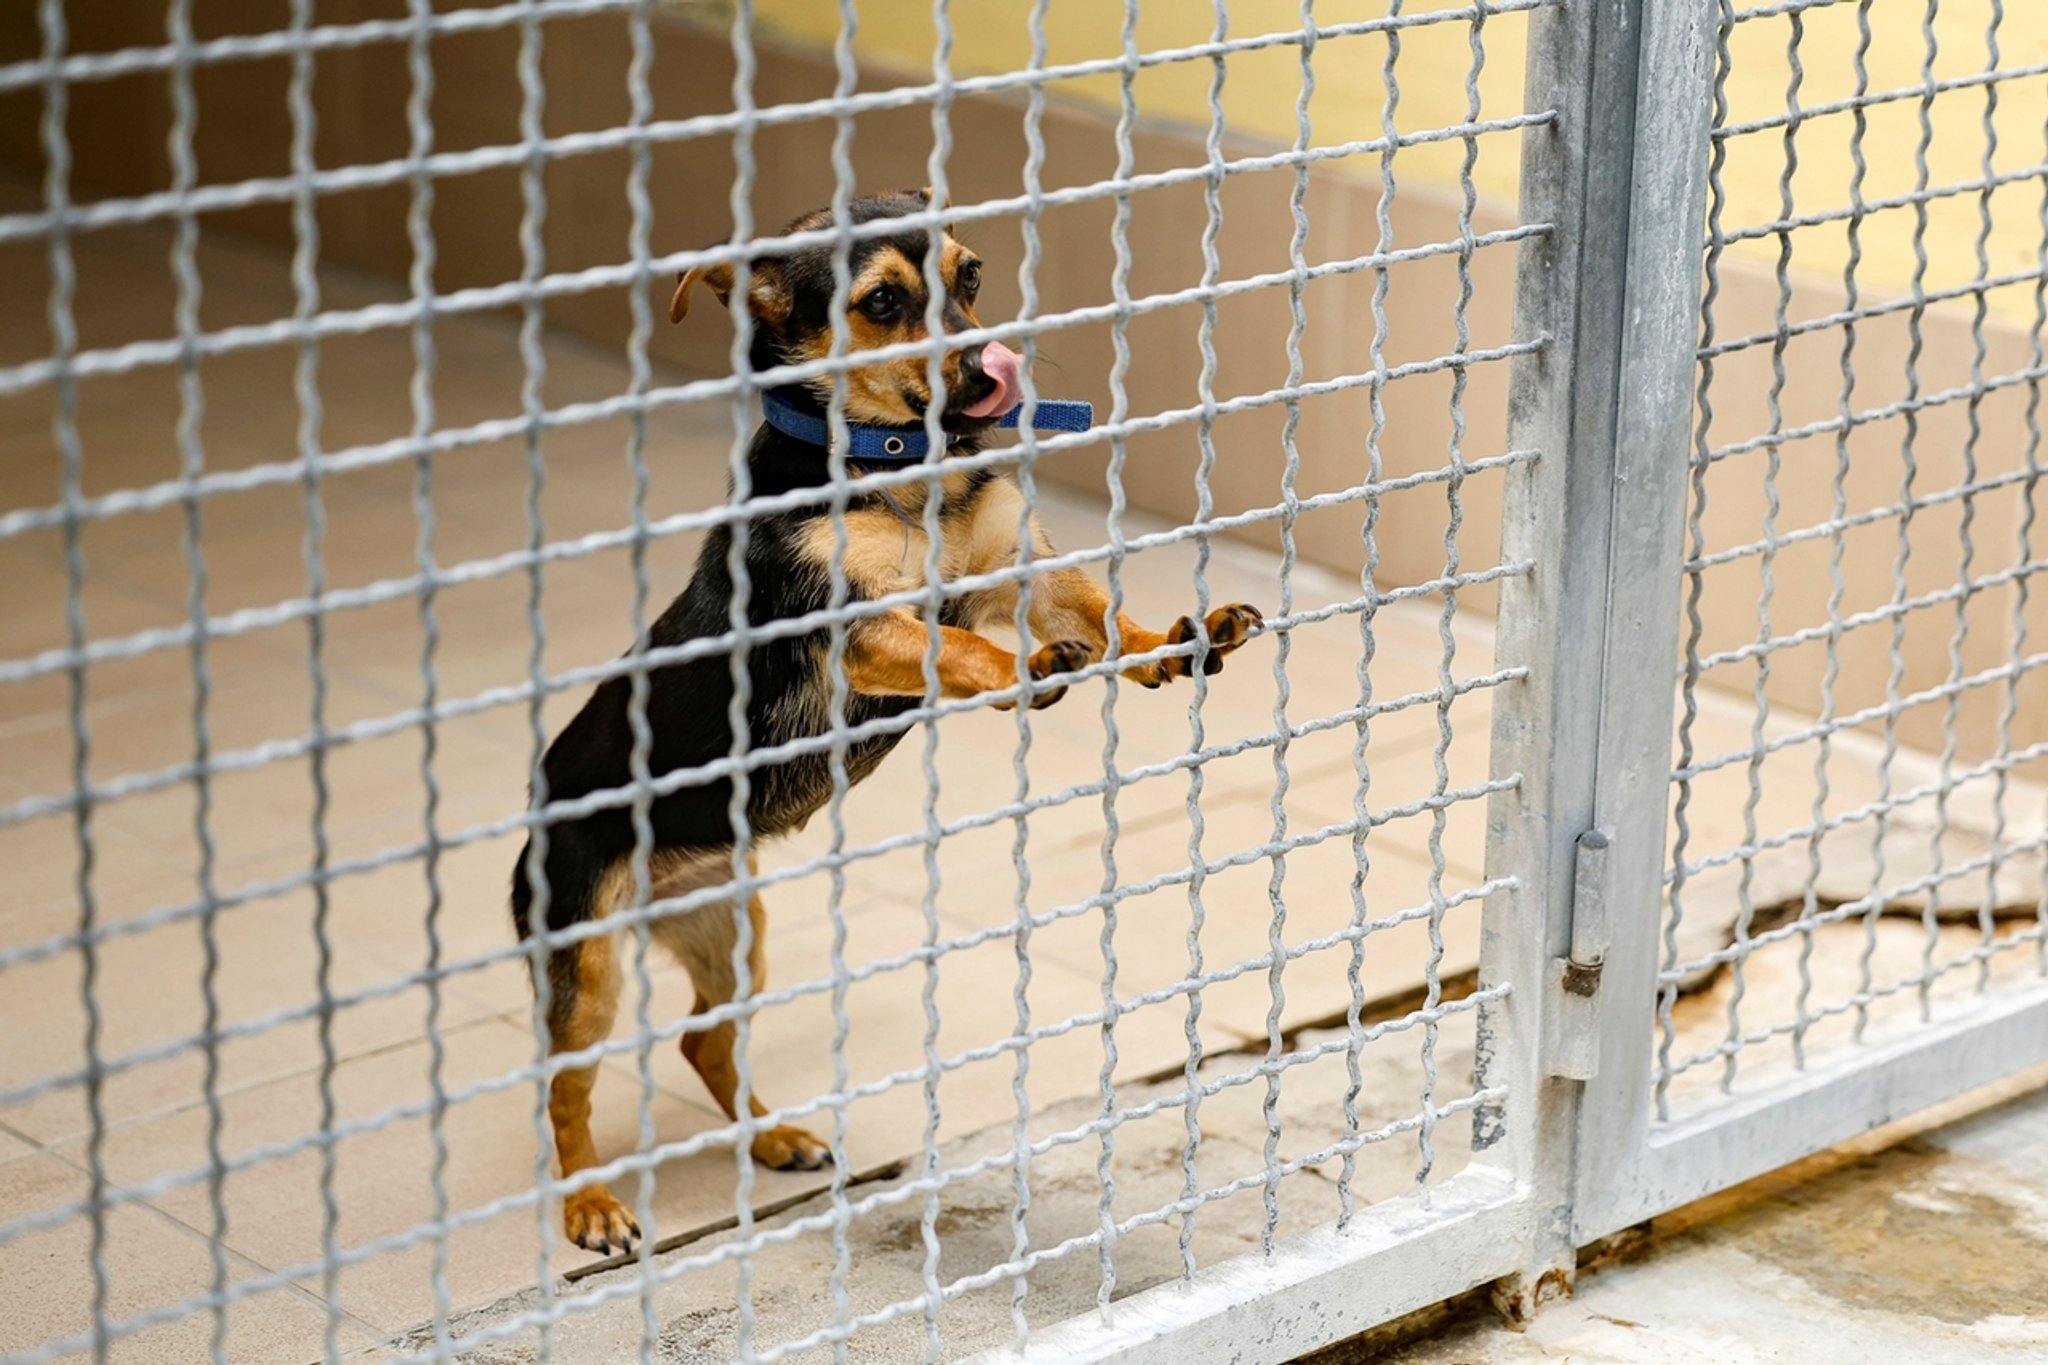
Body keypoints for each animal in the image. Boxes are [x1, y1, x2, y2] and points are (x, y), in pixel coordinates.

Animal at [512, 187, 1253, 1252]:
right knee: (566, 1086)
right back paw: (591, 1206)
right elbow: (959, 648)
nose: (990, 365)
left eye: (971, 274)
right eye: (884, 302)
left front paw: (1176, 643)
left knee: (702, 1039)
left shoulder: (1025, 573)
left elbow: (1103, 614)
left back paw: (774, 1139)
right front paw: (1026, 672)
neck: (899, 464)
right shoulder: (858, 630)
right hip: (589, 960)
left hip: (730, 928)